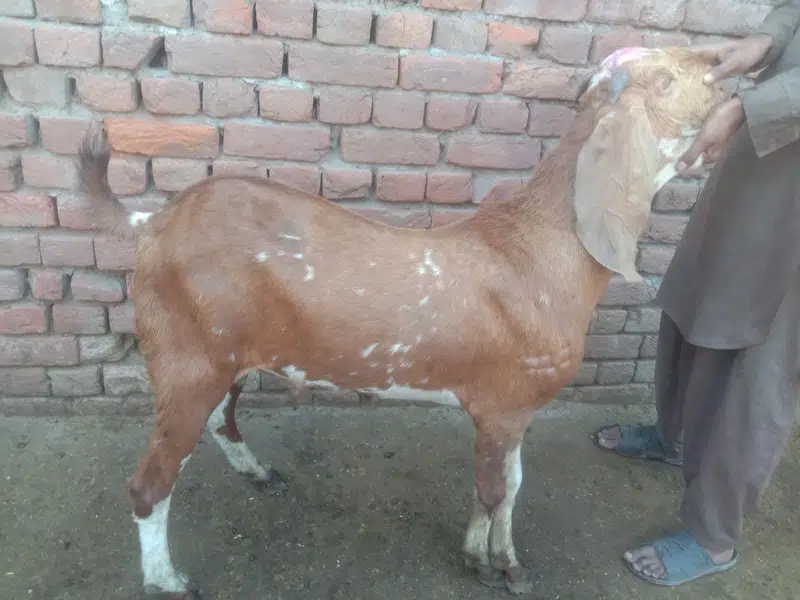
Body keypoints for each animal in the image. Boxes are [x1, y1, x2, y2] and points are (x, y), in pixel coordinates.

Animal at [75, 46, 727, 598]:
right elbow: (494, 489)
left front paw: (499, 557)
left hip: (221, 356)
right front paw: (492, 566)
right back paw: (167, 581)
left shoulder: (515, 408)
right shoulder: (501, 403)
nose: (720, 66)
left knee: (217, 420)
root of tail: (153, 223)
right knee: (150, 483)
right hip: (188, 355)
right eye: (667, 79)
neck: (535, 250)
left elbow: (509, 486)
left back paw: (257, 473)